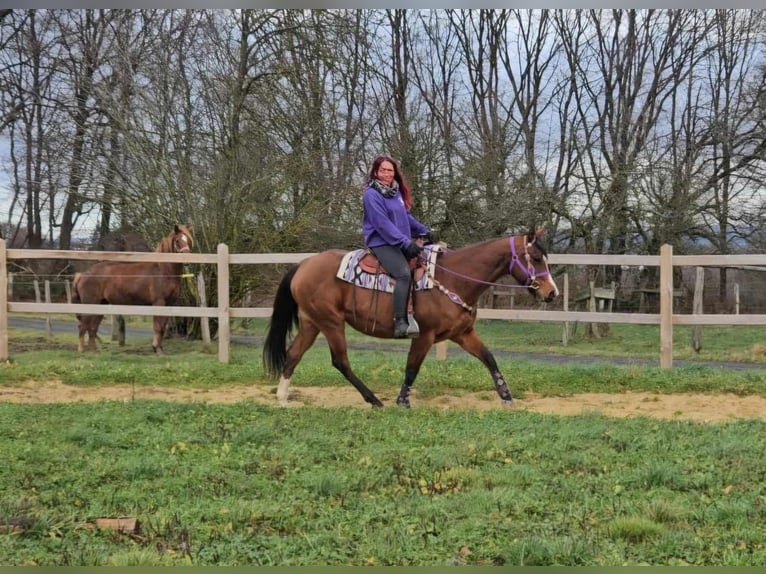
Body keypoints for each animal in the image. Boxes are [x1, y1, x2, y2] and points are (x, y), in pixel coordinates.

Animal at [72, 224, 194, 354]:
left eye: (188, 239)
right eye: (177, 241)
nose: (187, 259)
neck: (163, 271)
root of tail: (83, 274)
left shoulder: (169, 304)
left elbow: (162, 328)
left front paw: (159, 348)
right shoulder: (159, 303)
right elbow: (158, 327)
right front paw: (157, 349)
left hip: (100, 305)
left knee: (92, 328)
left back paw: (94, 351)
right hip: (90, 303)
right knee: (83, 326)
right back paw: (81, 350)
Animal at [262, 229, 559, 408]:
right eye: (535, 257)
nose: (552, 292)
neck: (453, 278)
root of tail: (303, 265)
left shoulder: (462, 334)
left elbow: (489, 358)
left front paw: (506, 397)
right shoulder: (424, 335)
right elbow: (412, 368)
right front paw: (402, 401)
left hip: (312, 323)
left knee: (293, 355)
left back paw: (282, 399)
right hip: (331, 323)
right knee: (340, 361)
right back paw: (373, 400)